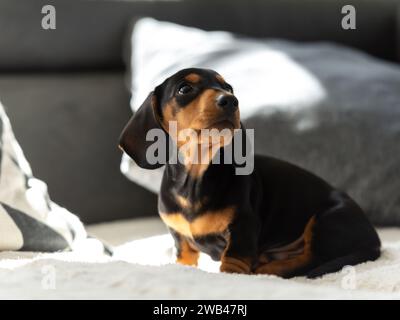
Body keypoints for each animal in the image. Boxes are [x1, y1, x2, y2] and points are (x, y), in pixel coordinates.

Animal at [119, 67, 382, 278]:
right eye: (185, 88)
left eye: (228, 87)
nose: (230, 100)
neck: (195, 179)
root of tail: (375, 240)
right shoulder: (181, 242)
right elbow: (184, 261)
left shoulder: (242, 229)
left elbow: (233, 263)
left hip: (326, 220)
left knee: (310, 261)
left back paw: (267, 270)